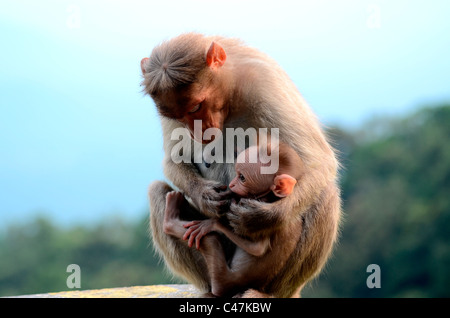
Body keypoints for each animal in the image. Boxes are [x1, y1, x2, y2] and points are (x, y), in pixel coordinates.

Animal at [162, 143, 302, 296]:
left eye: (242, 177)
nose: (232, 184)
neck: (272, 197)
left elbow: (258, 248)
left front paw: (213, 224)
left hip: (222, 281)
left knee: (210, 240)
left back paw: (170, 219)